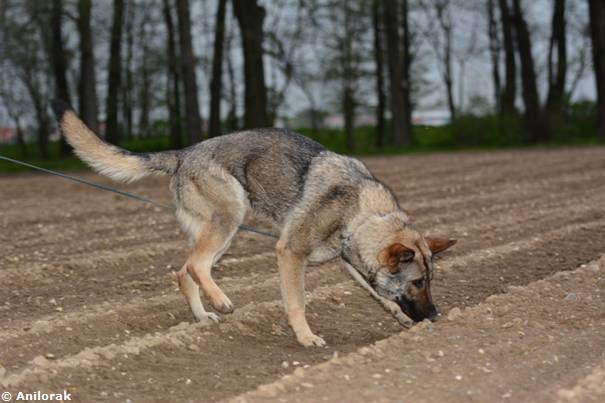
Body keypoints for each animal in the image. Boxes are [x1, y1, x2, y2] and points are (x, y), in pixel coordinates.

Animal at [54, 101, 456, 348]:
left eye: (430, 281)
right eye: (418, 282)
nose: (436, 315)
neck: (362, 213)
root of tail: (184, 153)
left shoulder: (350, 262)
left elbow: (378, 293)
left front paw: (399, 318)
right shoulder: (290, 253)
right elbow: (297, 302)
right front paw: (306, 338)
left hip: (218, 233)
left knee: (185, 271)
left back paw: (204, 316)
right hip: (231, 217)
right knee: (196, 266)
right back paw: (221, 301)